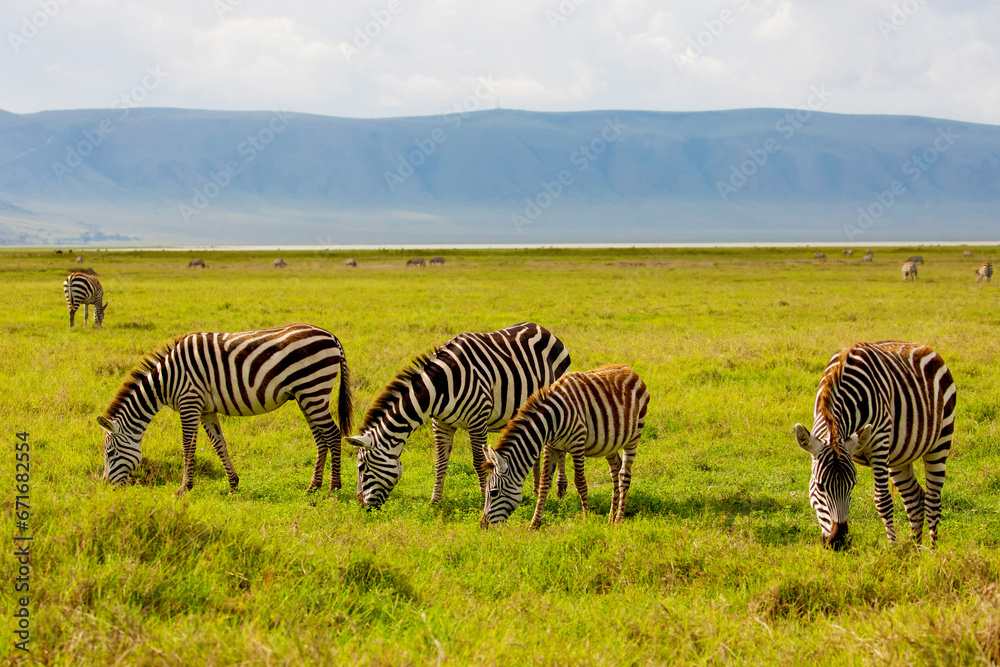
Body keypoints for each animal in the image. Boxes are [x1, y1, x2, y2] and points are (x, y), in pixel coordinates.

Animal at [96, 324, 353, 496]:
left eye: (109, 453)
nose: (107, 487)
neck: (167, 379)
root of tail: (331, 336)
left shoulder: (189, 402)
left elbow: (187, 447)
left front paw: (183, 488)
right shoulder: (205, 409)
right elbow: (218, 444)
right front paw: (233, 484)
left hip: (313, 388)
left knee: (332, 434)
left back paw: (333, 488)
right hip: (305, 395)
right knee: (320, 438)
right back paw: (313, 486)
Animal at [346, 322, 572, 508]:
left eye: (362, 467)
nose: (361, 506)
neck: (439, 386)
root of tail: (543, 328)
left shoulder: (478, 420)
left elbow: (479, 462)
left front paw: (483, 497)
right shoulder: (441, 424)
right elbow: (440, 463)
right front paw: (435, 501)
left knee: (560, 448)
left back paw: (561, 489)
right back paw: (535, 488)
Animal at [481, 364, 650, 529]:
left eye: (494, 493)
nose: (483, 526)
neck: (550, 421)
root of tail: (629, 369)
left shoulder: (578, 443)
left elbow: (580, 483)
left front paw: (586, 519)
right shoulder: (551, 447)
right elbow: (544, 484)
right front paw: (535, 523)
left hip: (633, 438)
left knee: (624, 476)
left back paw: (618, 520)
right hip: (610, 443)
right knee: (615, 470)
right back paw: (610, 518)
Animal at [793, 341, 956, 550]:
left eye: (853, 485)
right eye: (820, 487)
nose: (838, 541)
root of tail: (924, 347)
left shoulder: (879, 443)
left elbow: (883, 501)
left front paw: (892, 548)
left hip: (940, 441)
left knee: (933, 502)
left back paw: (932, 553)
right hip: (899, 456)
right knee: (915, 500)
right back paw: (915, 550)